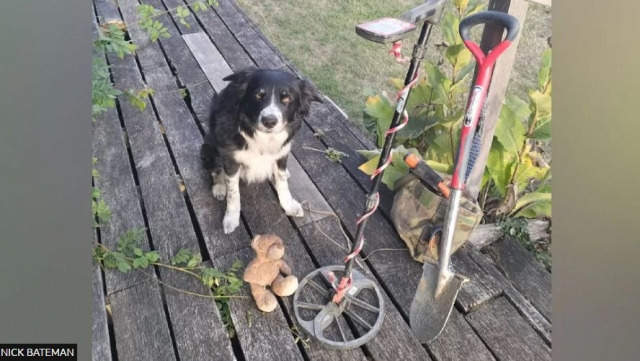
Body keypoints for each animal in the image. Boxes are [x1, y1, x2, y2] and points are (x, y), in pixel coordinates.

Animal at [200, 67, 322, 233]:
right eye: (258, 95)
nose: (269, 121)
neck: (264, 138)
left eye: (286, 98)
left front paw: (288, 205)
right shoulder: (231, 160)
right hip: (211, 148)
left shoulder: (282, 153)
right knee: (215, 170)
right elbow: (233, 193)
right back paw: (219, 187)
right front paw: (231, 218)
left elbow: (282, 183)